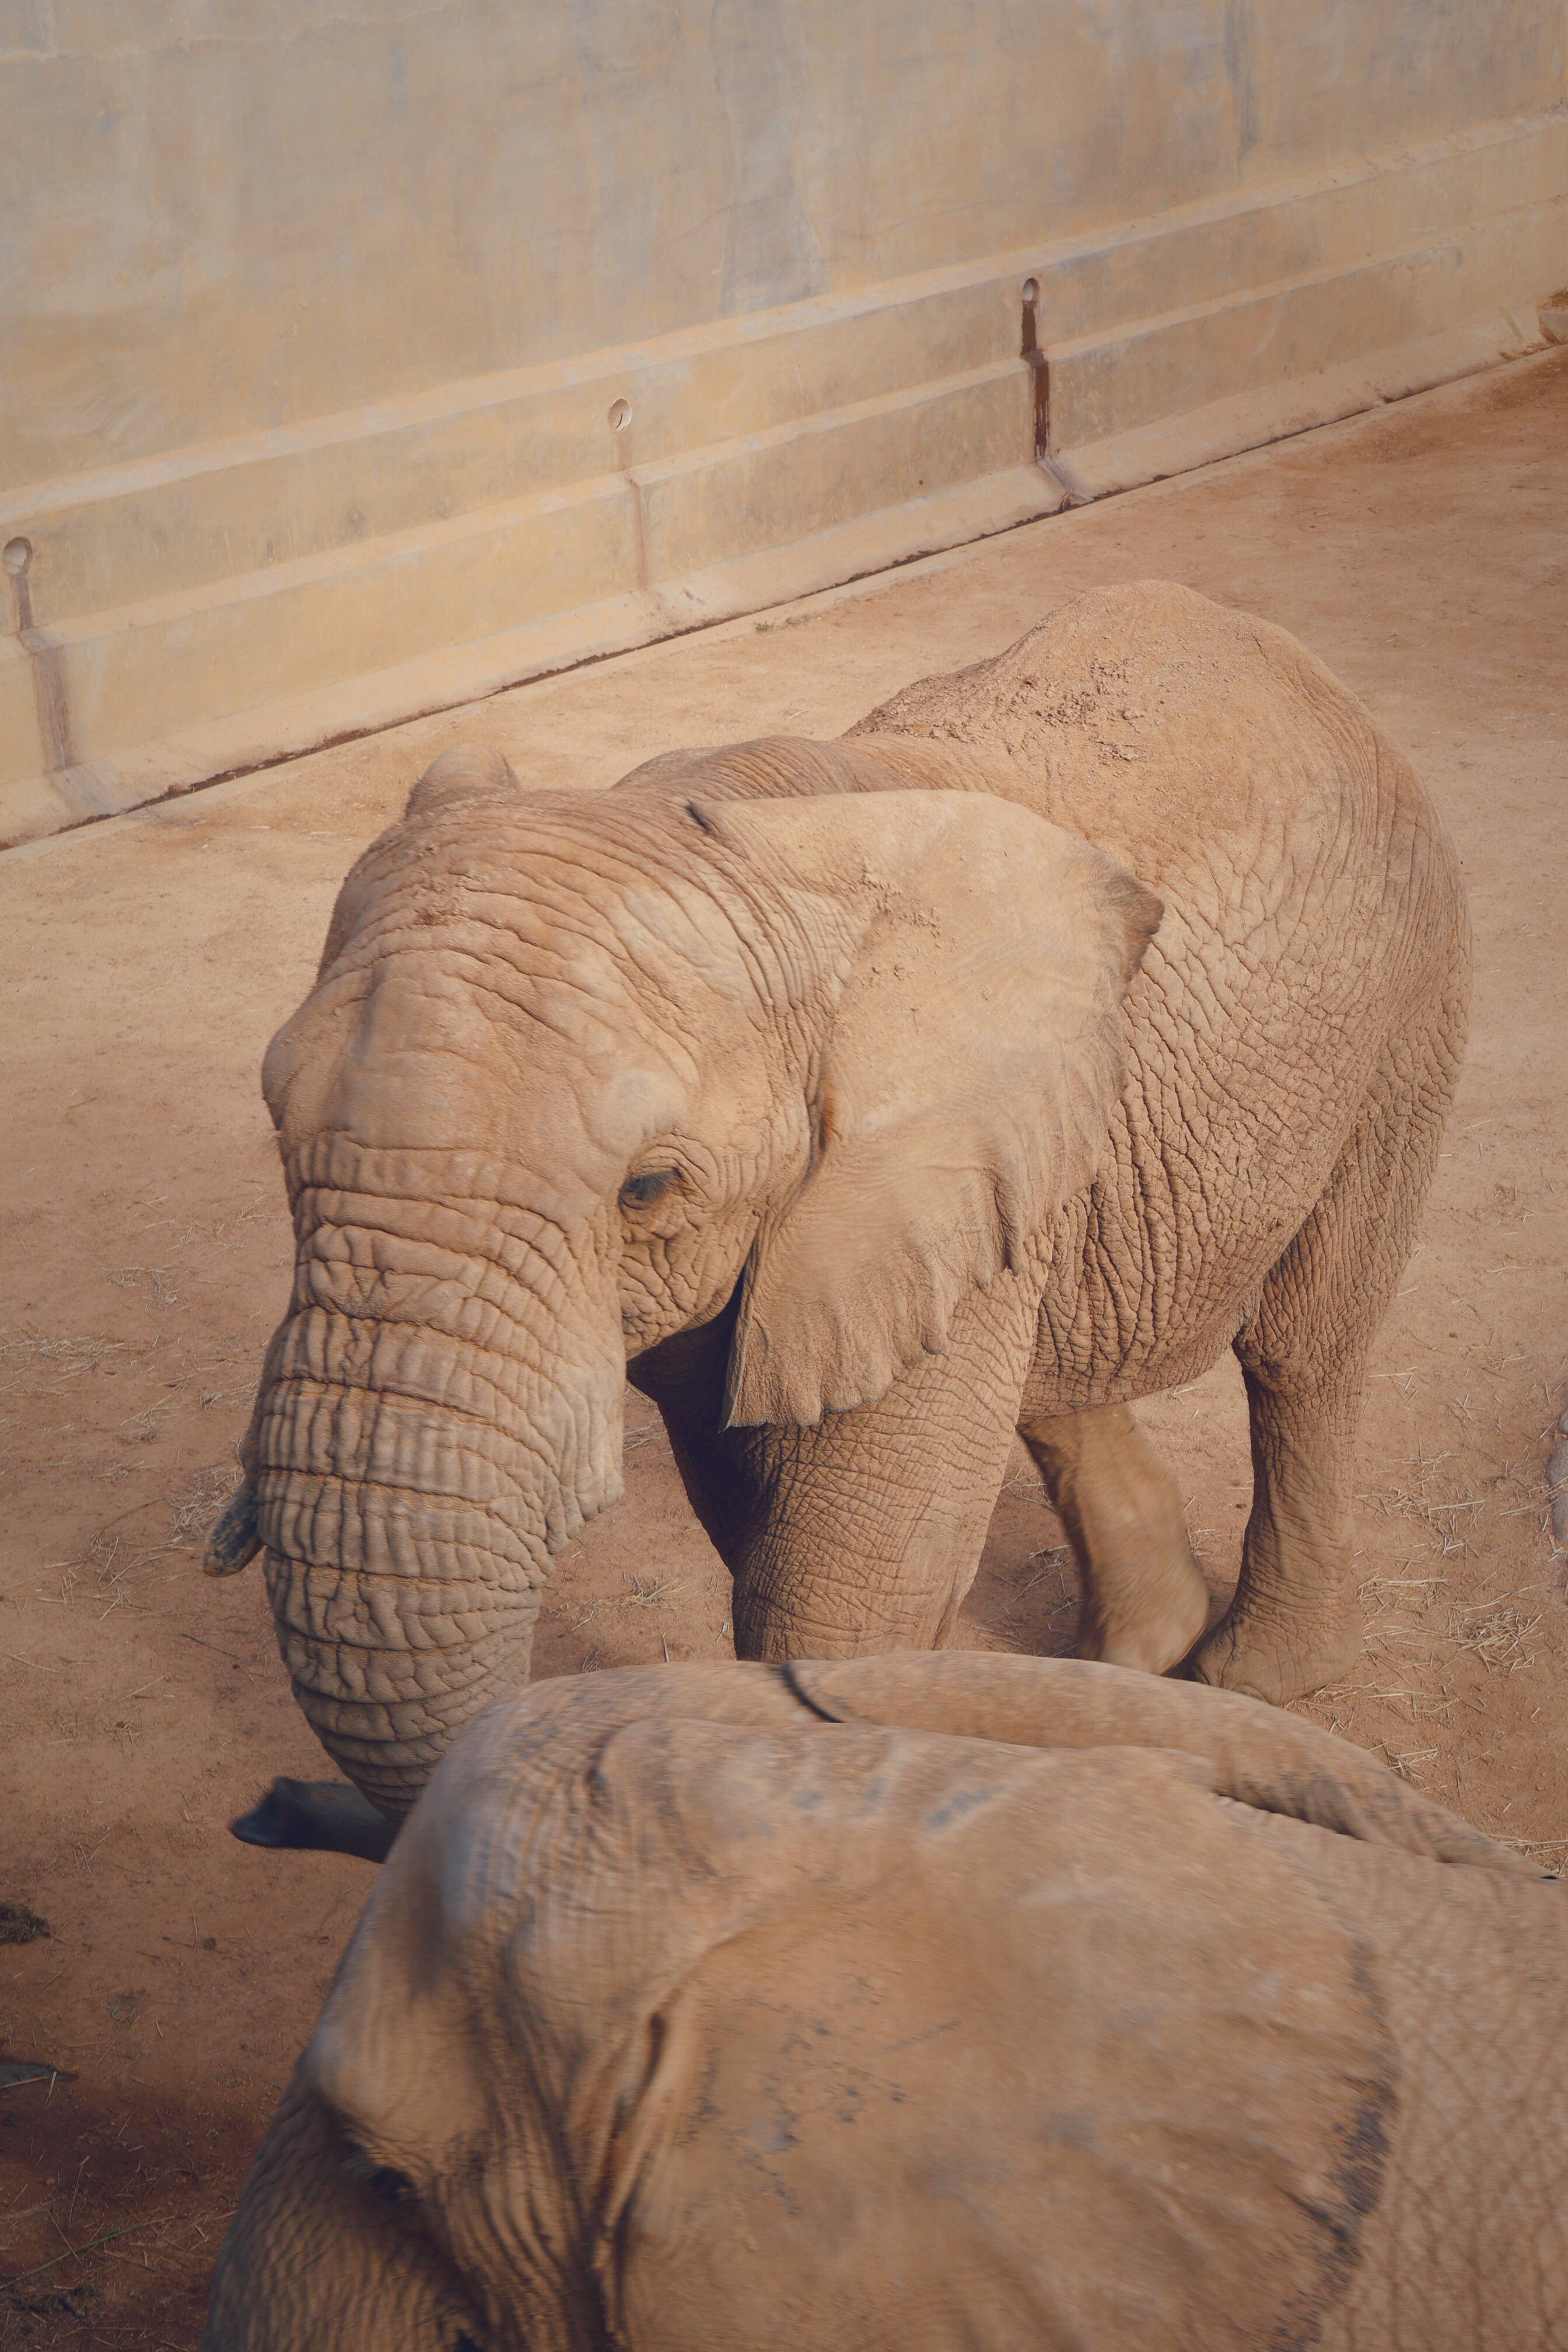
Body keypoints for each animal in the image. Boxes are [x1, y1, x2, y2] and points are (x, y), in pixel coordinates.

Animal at [208, 578, 1476, 1825]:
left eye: (645, 1188)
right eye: (273, 1122)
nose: (264, 1808)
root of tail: (1293, 656)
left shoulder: (904, 1152)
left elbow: (851, 1573)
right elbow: (746, 1494)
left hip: (1406, 998)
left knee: (1302, 1352)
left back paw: (1251, 1676)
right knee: (1057, 1379)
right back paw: (1132, 1665)